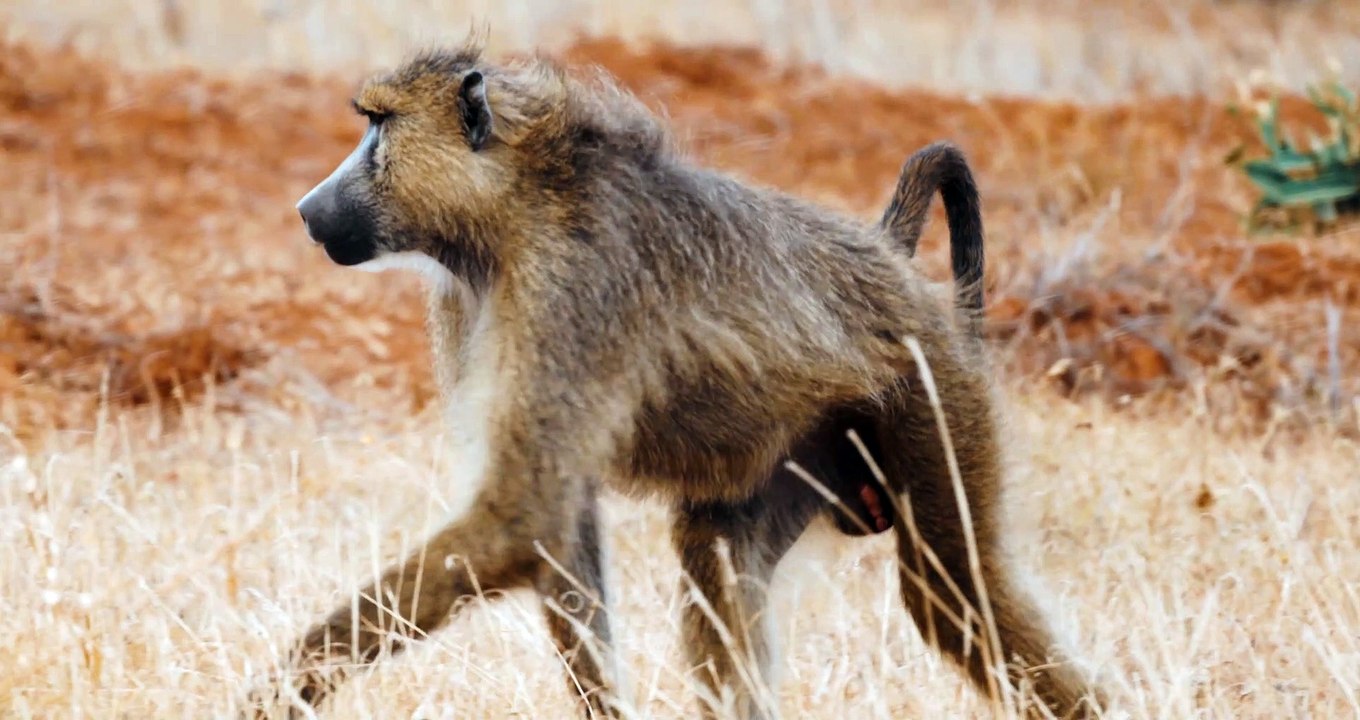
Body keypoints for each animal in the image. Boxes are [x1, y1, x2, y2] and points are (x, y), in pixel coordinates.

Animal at [252, 39, 1107, 720]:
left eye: (377, 127)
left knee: (956, 597)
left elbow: (518, 514)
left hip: (930, 394)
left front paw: (274, 690)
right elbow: (559, 522)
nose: (305, 208)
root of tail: (893, 264)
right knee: (721, 565)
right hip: (801, 452)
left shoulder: (577, 283)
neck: (516, 205)